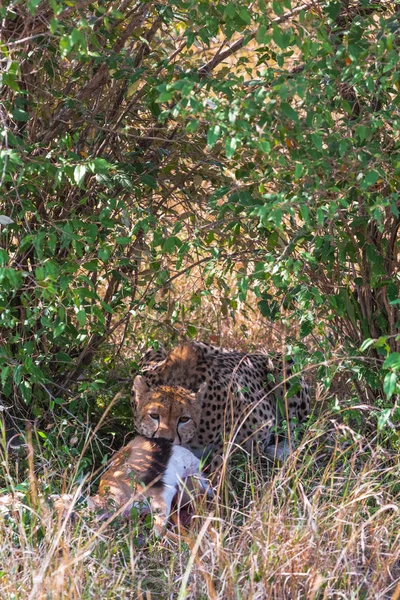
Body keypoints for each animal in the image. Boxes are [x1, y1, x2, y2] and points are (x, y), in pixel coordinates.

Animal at [133, 342, 310, 464]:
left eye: (184, 419)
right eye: (154, 415)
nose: (164, 440)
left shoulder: (237, 398)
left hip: (285, 367)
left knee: (296, 431)